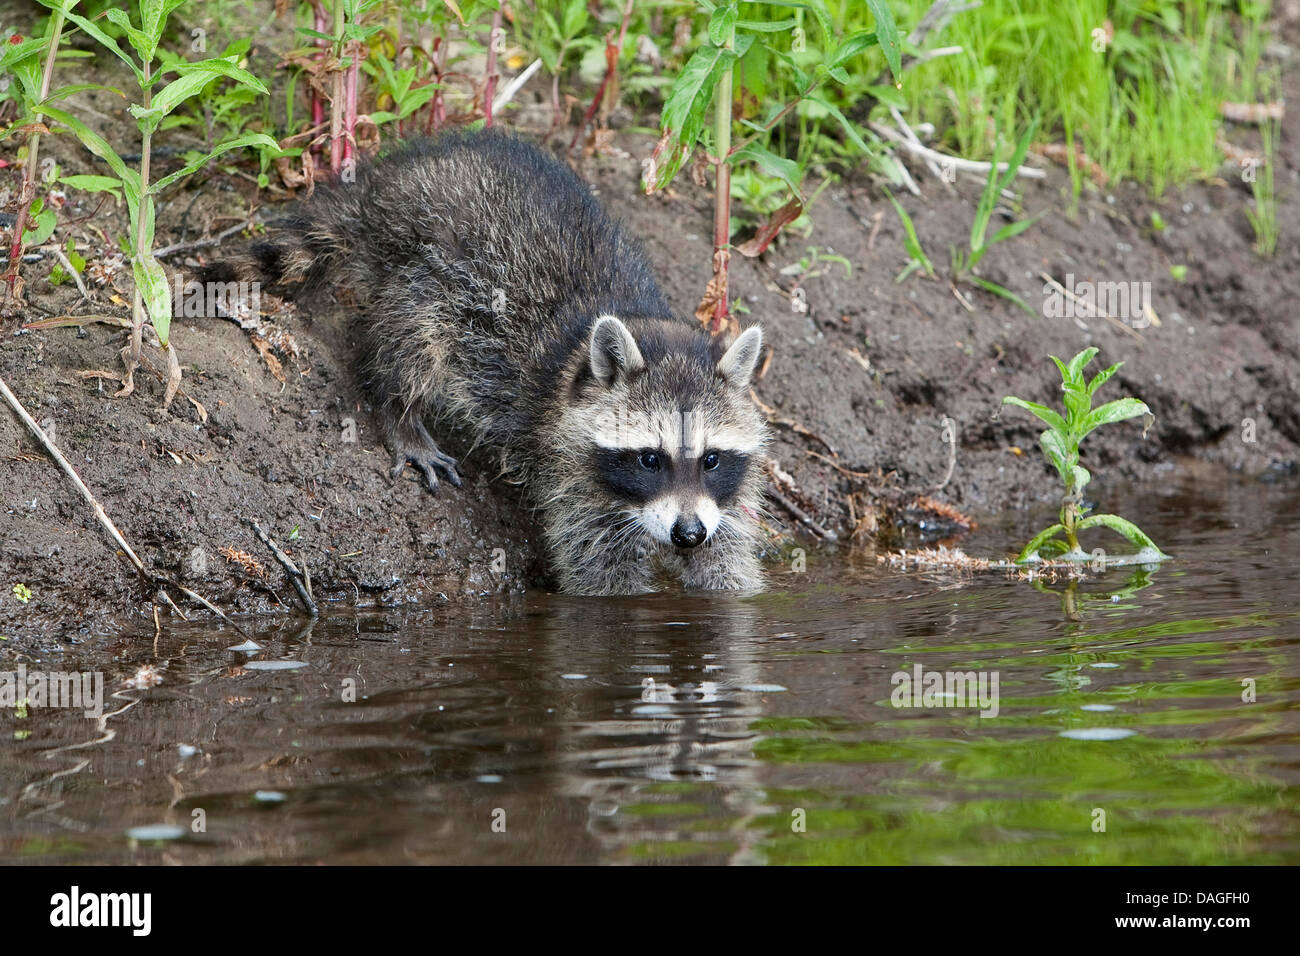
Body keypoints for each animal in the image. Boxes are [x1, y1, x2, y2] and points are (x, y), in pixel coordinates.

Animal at [209, 129, 768, 595]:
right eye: (651, 459)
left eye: (712, 458)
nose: (688, 534)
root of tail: (393, 185)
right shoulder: (567, 468)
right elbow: (599, 571)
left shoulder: (719, 503)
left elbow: (728, 561)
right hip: (428, 273)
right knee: (413, 343)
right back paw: (401, 410)